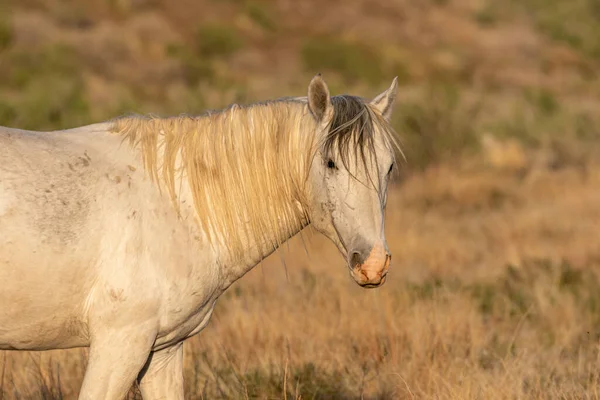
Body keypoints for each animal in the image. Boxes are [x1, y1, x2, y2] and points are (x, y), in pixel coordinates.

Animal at [1, 74, 404, 396]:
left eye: (388, 167)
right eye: (330, 163)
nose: (373, 265)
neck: (174, 202)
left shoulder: (163, 350)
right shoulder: (119, 344)